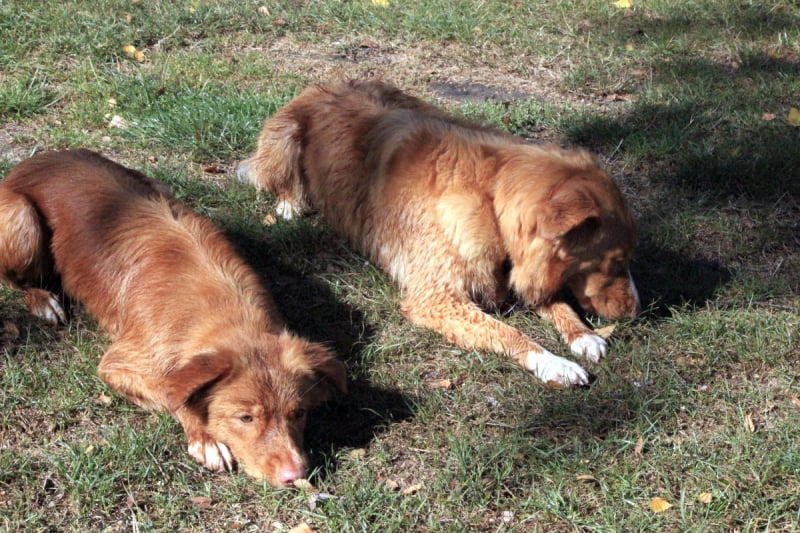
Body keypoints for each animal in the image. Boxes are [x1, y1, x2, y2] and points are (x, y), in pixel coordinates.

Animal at [0, 149, 346, 486]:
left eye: (298, 413)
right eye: (245, 418)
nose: (295, 475)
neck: (225, 312)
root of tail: (38, 157)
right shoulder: (117, 364)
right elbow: (172, 393)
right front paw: (206, 439)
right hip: (23, 220)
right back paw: (42, 300)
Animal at [237, 80, 640, 387]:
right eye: (614, 261)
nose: (637, 312)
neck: (491, 200)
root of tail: (323, 85)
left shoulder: (519, 270)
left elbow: (556, 302)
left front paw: (583, 335)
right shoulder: (436, 299)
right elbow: (509, 333)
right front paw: (555, 364)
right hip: (285, 140)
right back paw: (289, 206)